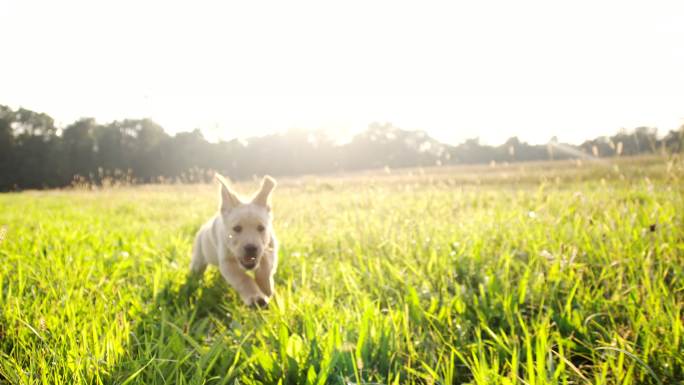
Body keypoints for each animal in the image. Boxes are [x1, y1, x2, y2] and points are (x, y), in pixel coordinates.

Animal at [190, 174, 278, 306]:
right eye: (237, 228)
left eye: (261, 228)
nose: (251, 248)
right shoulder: (227, 263)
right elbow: (243, 279)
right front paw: (256, 298)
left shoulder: (271, 248)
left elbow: (266, 268)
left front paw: (267, 289)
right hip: (199, 256)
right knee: (196, 269)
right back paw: (191, 282)